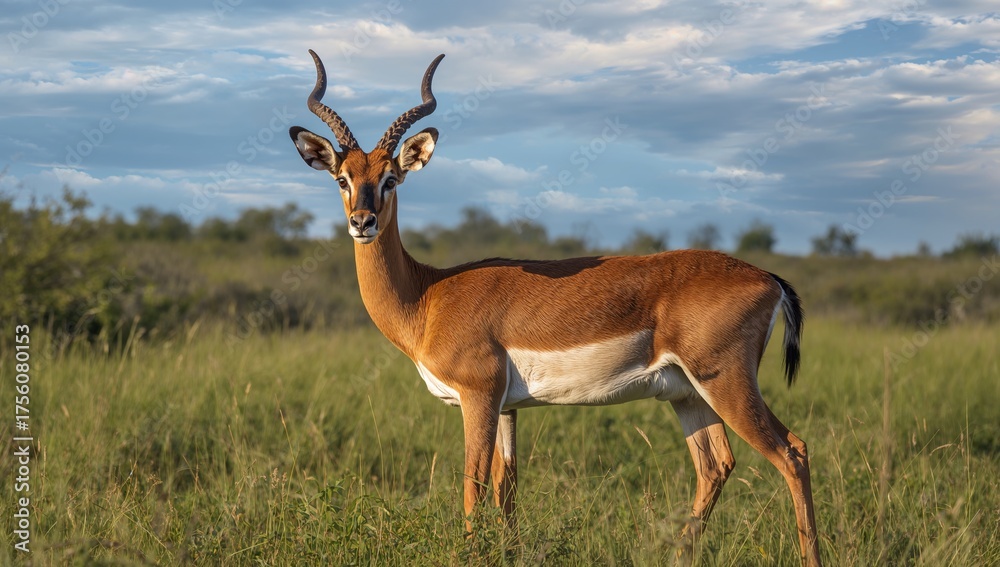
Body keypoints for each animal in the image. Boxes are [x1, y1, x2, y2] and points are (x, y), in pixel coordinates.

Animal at [289, 50, 822, 566]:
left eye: (391, 179)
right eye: (342, 178)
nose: (363, 221)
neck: (428, 297)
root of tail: (768, 279)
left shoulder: (478, 397)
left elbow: (472, 486)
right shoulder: (507, 407)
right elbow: (506, 488)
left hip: (726, 383)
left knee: (792, 452)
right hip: (686, 394)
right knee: (715, 465)